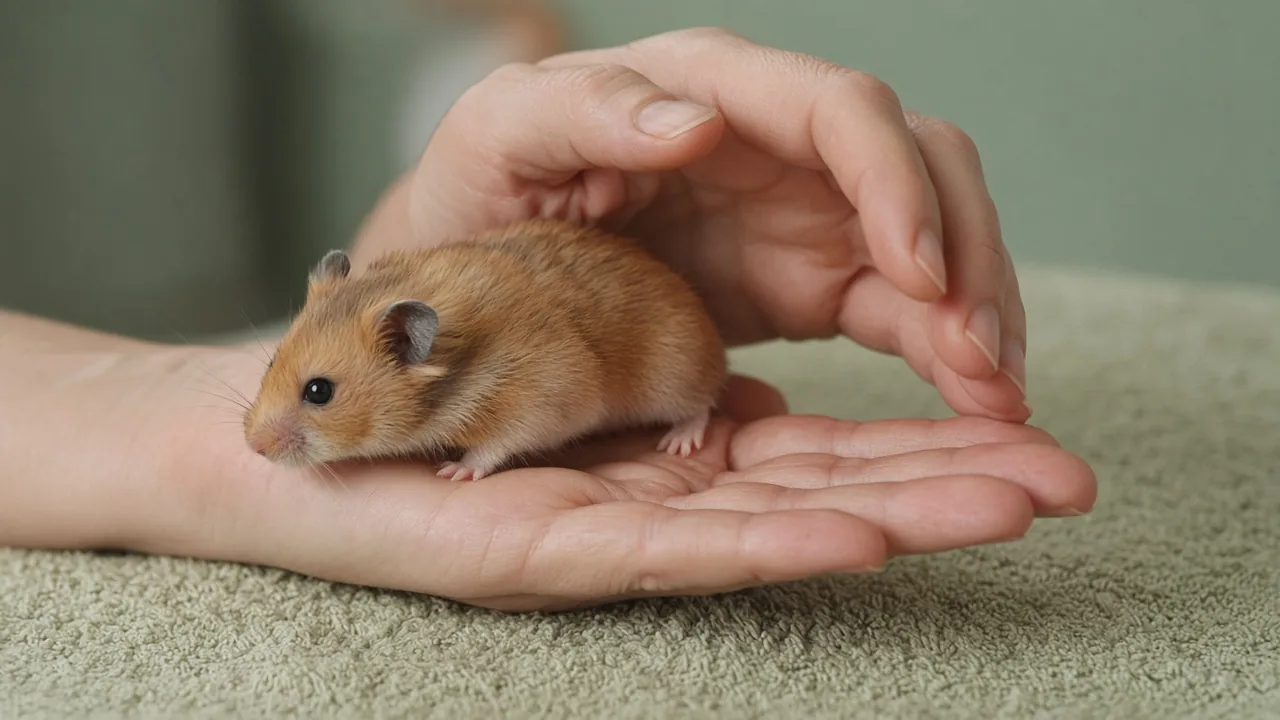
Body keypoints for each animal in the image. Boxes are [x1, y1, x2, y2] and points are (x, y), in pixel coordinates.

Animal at [242, 219, 728, 481]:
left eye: (319, 391)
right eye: (271, 361)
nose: (253, 448)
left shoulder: (541, 402)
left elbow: (496, 445)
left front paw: (454, 471)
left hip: (672, 378)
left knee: (701, 404)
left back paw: (679, 442)